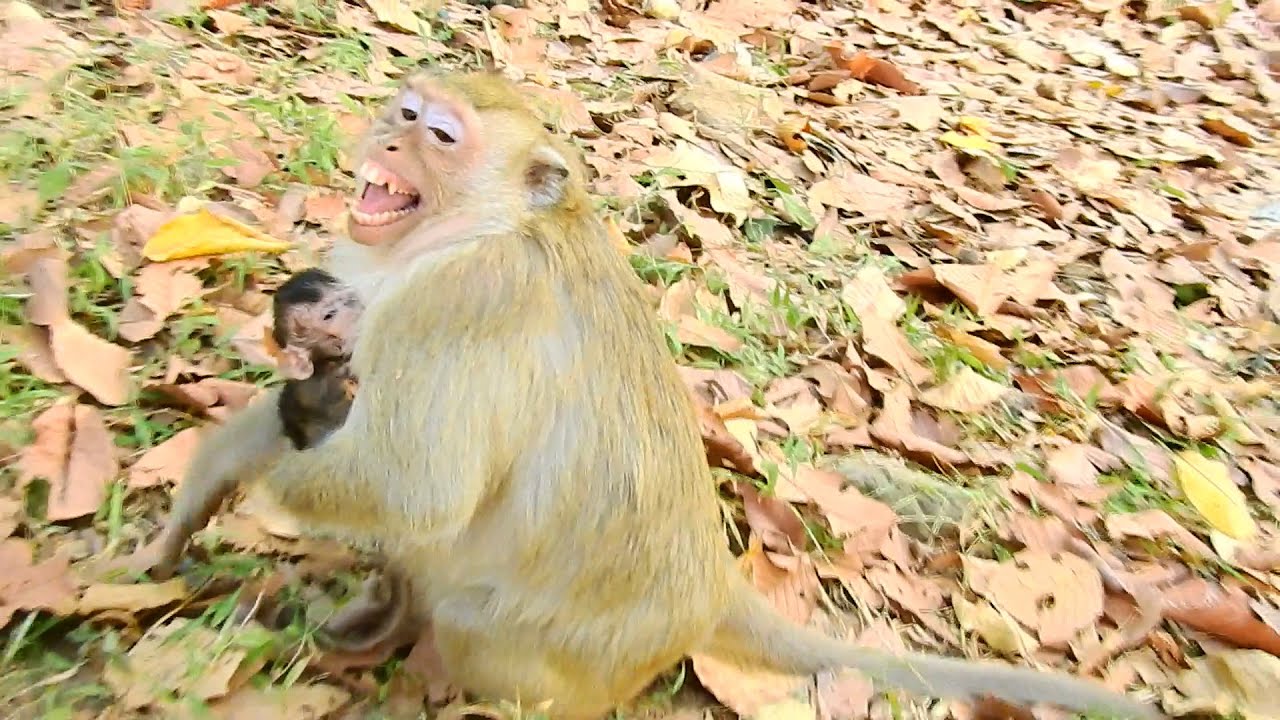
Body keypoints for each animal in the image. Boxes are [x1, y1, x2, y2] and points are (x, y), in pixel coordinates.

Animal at [127, 71, 1162, 720]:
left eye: (438, 134)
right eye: (406, 111)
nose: (387, 132)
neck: (483, 230)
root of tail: (708, 584)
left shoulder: (463, 302)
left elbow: (415, 488)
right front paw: (186, 516)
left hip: (581, 648)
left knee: (471, 612)